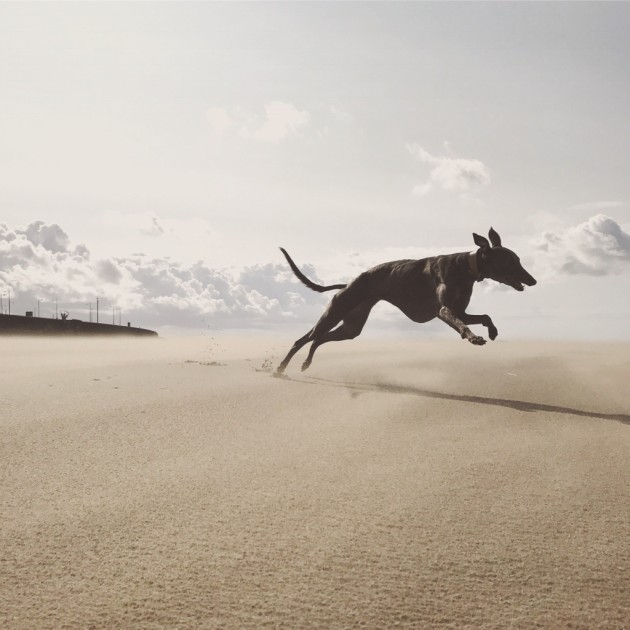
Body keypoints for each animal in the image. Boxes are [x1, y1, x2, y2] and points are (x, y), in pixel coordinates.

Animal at [278, 228, 540, 372]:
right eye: (510, 261)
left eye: (518, 259)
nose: (533, 280)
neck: (466, 266)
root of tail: (348, 283)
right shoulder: (445, 311)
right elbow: (461, 324)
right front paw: (474, 337)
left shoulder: (461, 311)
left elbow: (485, 315)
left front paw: (492, 331)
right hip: (335, 312)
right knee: (304, 339)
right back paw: (280, 368)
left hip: (351, 326)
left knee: (318, 340)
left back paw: (305, 364)